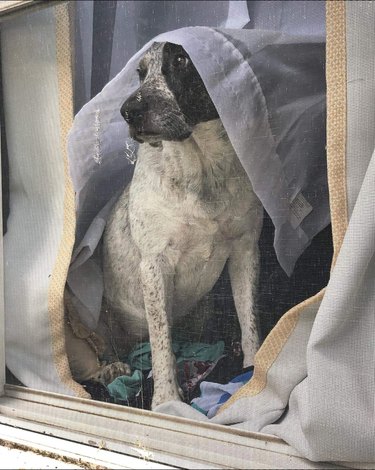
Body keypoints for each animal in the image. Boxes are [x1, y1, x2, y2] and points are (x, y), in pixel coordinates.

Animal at [101, 44, 262, 410]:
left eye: (181, 60)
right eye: (140, 72)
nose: (128, 111)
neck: (202, 169)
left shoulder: (245, 249)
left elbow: (249, 321)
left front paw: (253, 369)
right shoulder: (154, 265)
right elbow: (162, 344)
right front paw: (166, 400)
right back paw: (113, 366)